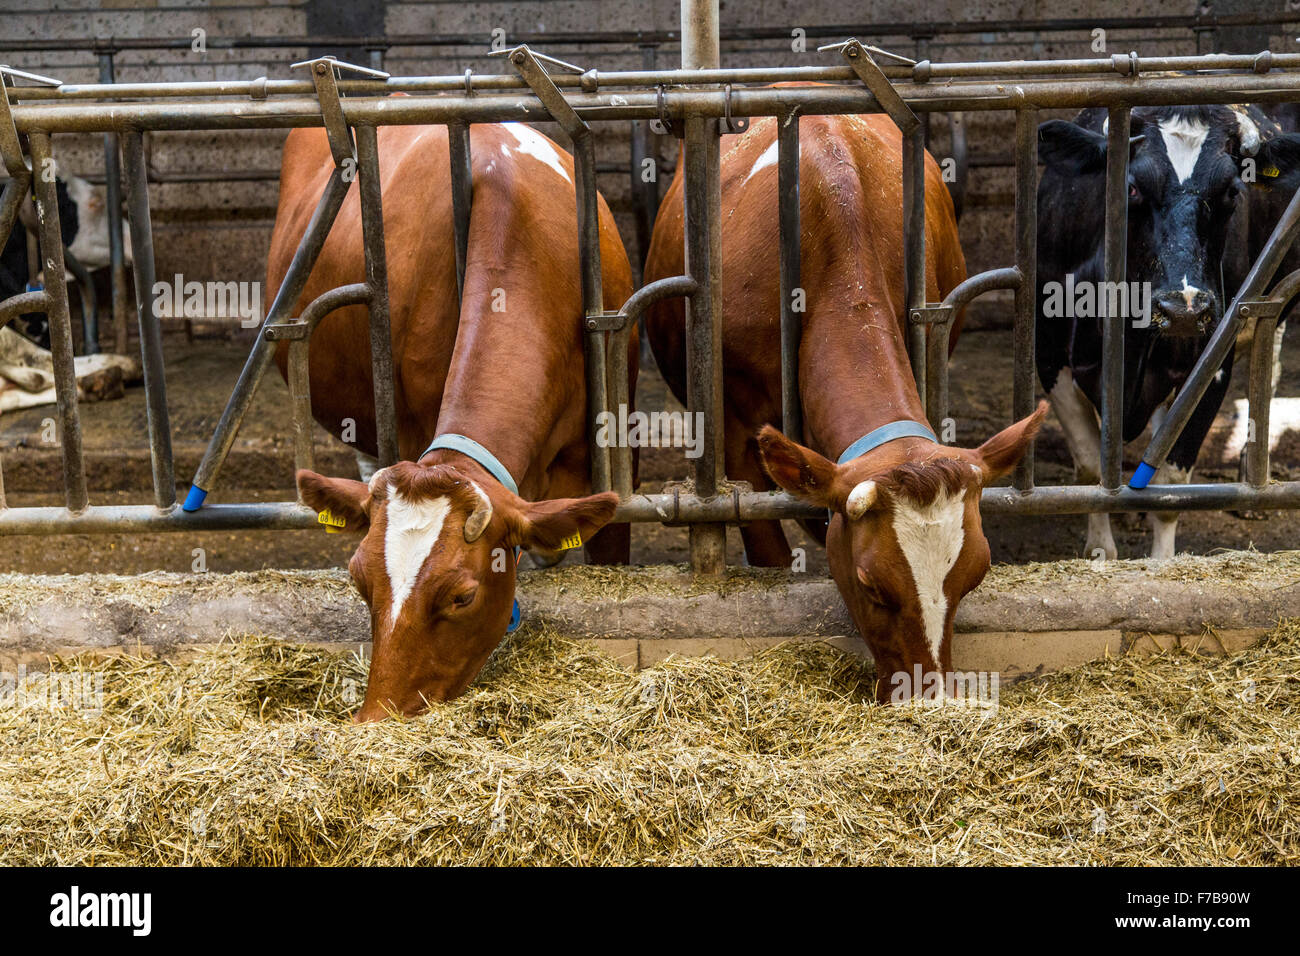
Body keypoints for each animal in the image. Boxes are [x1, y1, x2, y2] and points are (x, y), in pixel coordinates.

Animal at [1035, 105, 1300, 559]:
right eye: (1132, 187)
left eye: (1232, 192)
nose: (1183, 309)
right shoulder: (1049, 355)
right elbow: (1089, 466)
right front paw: (1100, 550)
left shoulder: (1213, 363)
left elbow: (1171, 484)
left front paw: (1159, 561)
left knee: (1270, 368)